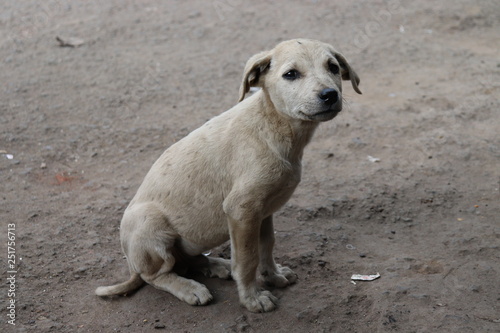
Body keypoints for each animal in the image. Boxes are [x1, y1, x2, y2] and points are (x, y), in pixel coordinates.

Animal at [95, 38, 362, 312]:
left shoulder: (263, 210)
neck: (275, 126)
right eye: (291, 74)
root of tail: (132, 265)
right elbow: (247, 258)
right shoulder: (241, 209)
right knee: (156, 275)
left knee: (187, 261)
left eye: (332, 67)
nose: (330, 94)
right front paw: (252, 299)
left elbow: (267, 245)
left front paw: (273, 276)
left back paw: (215, 266)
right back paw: (190, 288)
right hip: (147, 223)